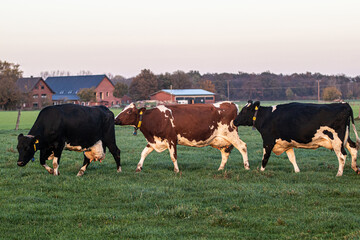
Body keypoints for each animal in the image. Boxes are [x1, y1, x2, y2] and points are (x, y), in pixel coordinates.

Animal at [114, 101, 249, 172]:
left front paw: (176, 170)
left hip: (231, 134)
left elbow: (173, 156)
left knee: (243, 147)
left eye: (129, 111)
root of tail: (230, 103)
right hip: (221, 140)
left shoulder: (171, 139)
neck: (155, 118)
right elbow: (144, 153)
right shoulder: (154, 141)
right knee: (225, 153)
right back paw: (220, 169)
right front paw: (138, 167)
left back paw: (246, 167)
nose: (115, 119)